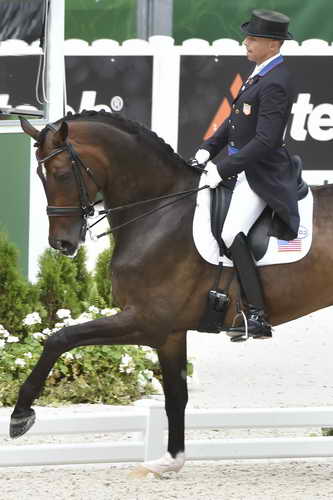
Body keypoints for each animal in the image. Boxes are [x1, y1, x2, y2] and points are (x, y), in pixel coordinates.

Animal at [10, 110, 332, 476]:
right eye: (40, 175)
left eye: (62, 174)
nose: (62, 244)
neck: (161, 209)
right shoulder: (170, 333)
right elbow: (176, 396)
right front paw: (169, 460)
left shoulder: (147, 321)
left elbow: (60, 338)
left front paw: (20, 415)